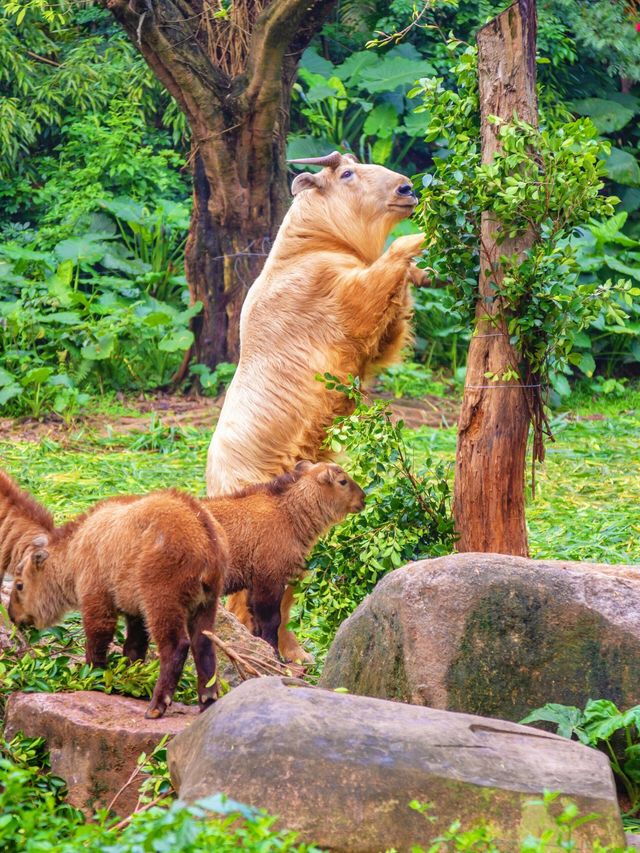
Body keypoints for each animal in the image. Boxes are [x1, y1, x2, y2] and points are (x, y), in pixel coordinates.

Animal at [1, 470, 228, 716]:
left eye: (20, 584)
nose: (12, 615)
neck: (74, 550)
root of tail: (207, 538)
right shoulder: (135, 612)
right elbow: (134, 649)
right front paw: (130, 682)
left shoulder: (97, 601)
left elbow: (97, 642)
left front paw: (93, 678)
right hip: (206, 603)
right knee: (203, 644)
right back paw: (208, 701)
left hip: (161, 600)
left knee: (176, 645)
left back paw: (156, 706)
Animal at [205, 460, 364, 652]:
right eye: (342, 481)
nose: (363, 499)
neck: (287, 513)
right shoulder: (269, 579)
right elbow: (272, 622)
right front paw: (274, 652)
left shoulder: (254, 583)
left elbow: (255, 623)